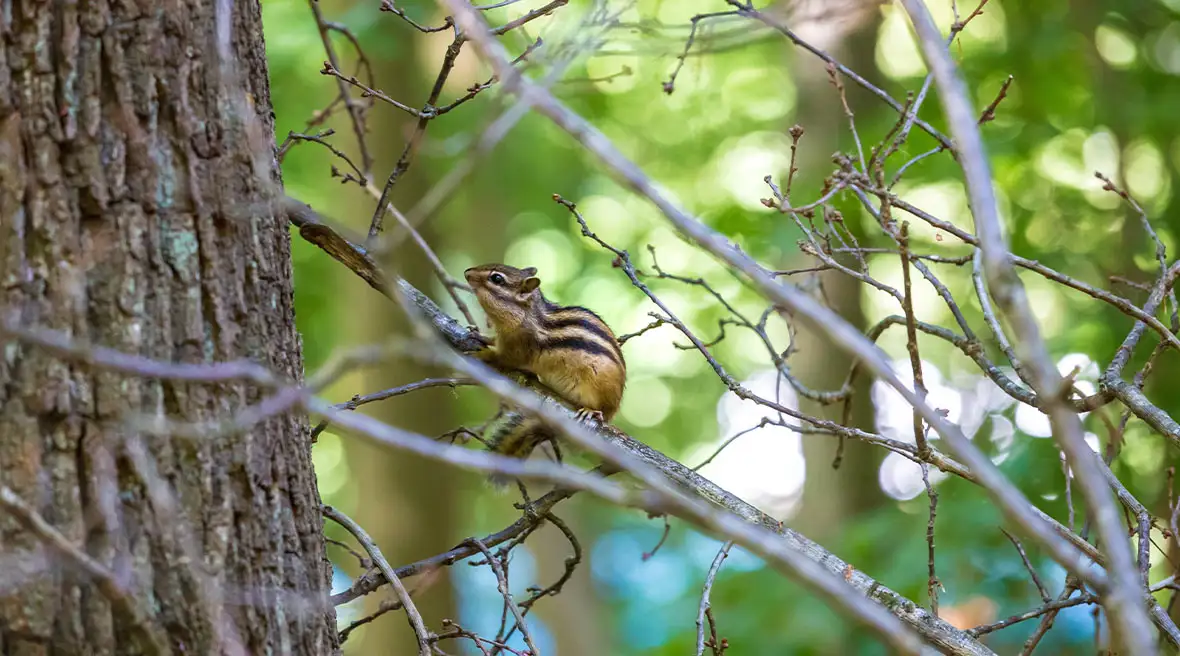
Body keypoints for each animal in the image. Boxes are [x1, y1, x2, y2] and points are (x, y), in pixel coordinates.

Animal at [463, 263, 626, 480]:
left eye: (497, 279)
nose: (467, 273)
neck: (525, 315)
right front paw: (479, 334)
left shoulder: (518, 347)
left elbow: (503, 358)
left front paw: (483, 353)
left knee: (604, 412)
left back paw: (592, 412)